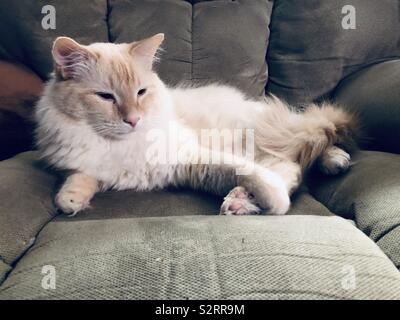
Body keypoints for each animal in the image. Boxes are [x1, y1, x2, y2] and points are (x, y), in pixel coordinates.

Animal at [35, 33, 356, 216]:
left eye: (141, 93)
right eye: (105, 97)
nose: (134, 120)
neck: (118, 147)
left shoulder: (188, 156)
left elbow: (251, 173)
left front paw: (274, 201)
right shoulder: (92, 168)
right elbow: (80, 178)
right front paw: (70, 201)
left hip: (266, 134)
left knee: (300, 157)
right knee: (294, 163)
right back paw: (241, 202)